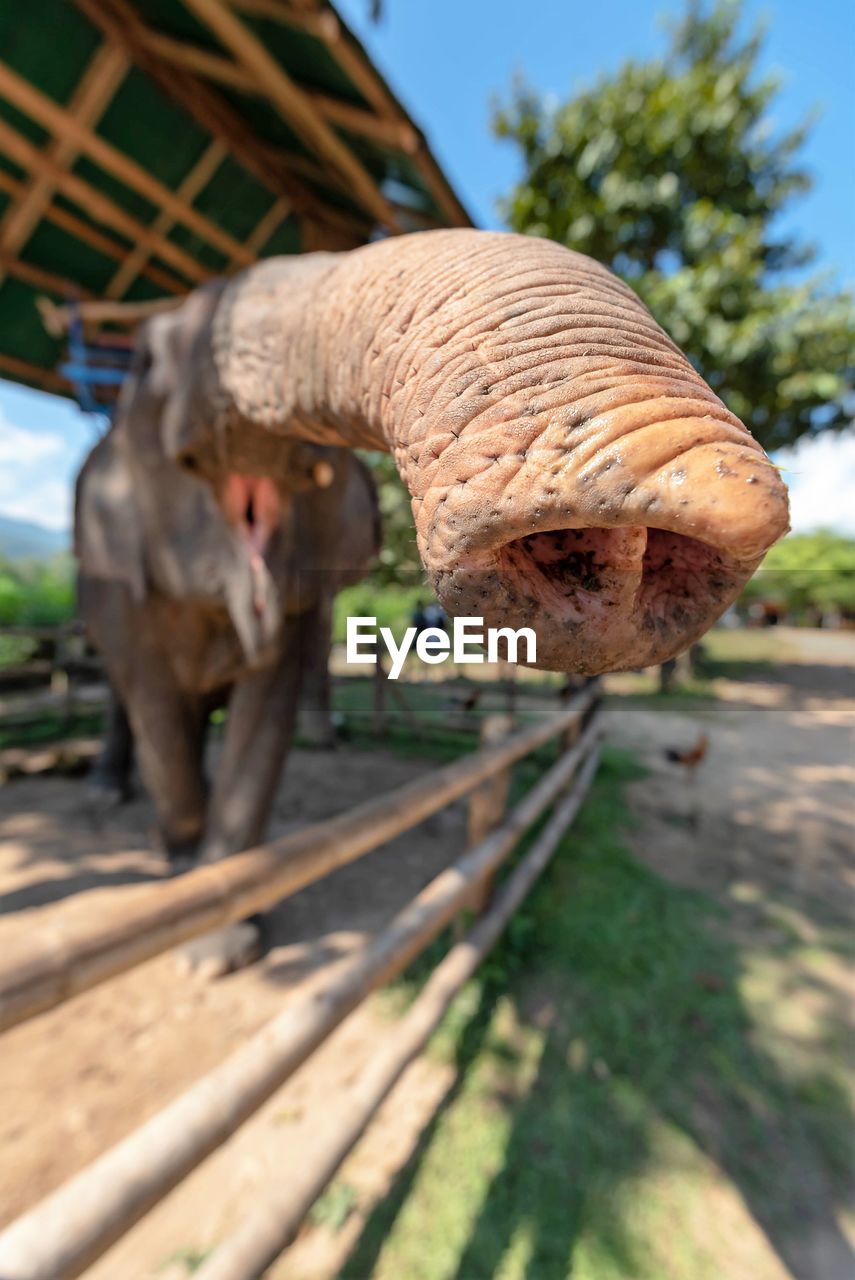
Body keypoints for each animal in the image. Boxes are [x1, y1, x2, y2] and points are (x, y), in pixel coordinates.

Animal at [73, 280, 381, 885]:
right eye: (143, 362)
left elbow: (266, 708)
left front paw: (227, 886)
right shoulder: (123, 585)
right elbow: (153, 707)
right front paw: (181, 859)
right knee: (127, 697)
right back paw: (106, 796)